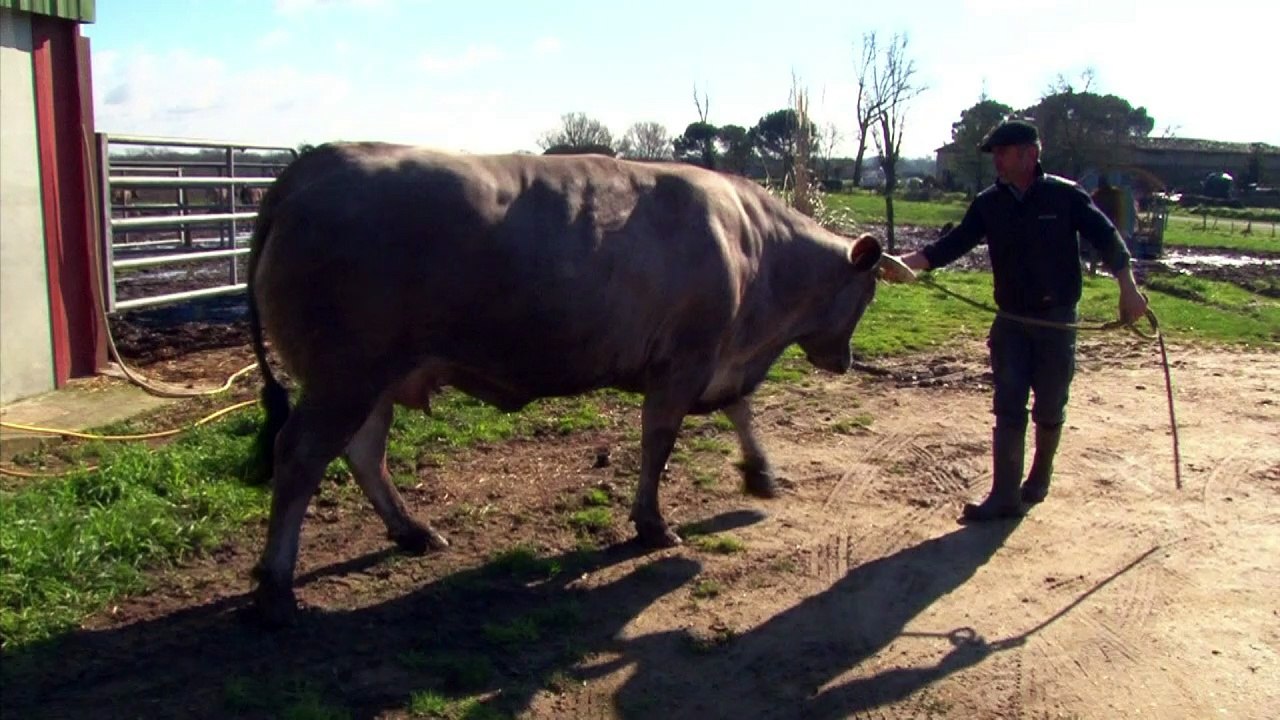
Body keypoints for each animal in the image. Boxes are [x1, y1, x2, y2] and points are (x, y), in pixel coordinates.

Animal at [244, 142, 914, 625]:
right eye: (868, 293)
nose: (845, 362)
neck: (755, 248)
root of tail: (316, 161)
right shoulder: (686, 361)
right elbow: (659, 444)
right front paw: (652, 523)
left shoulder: (718, 360)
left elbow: (741, 410)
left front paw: (761, 472)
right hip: (346, 375)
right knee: (300, 455)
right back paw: (276, 587)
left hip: (373, 380)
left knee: (363, 452)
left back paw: (411, 531)